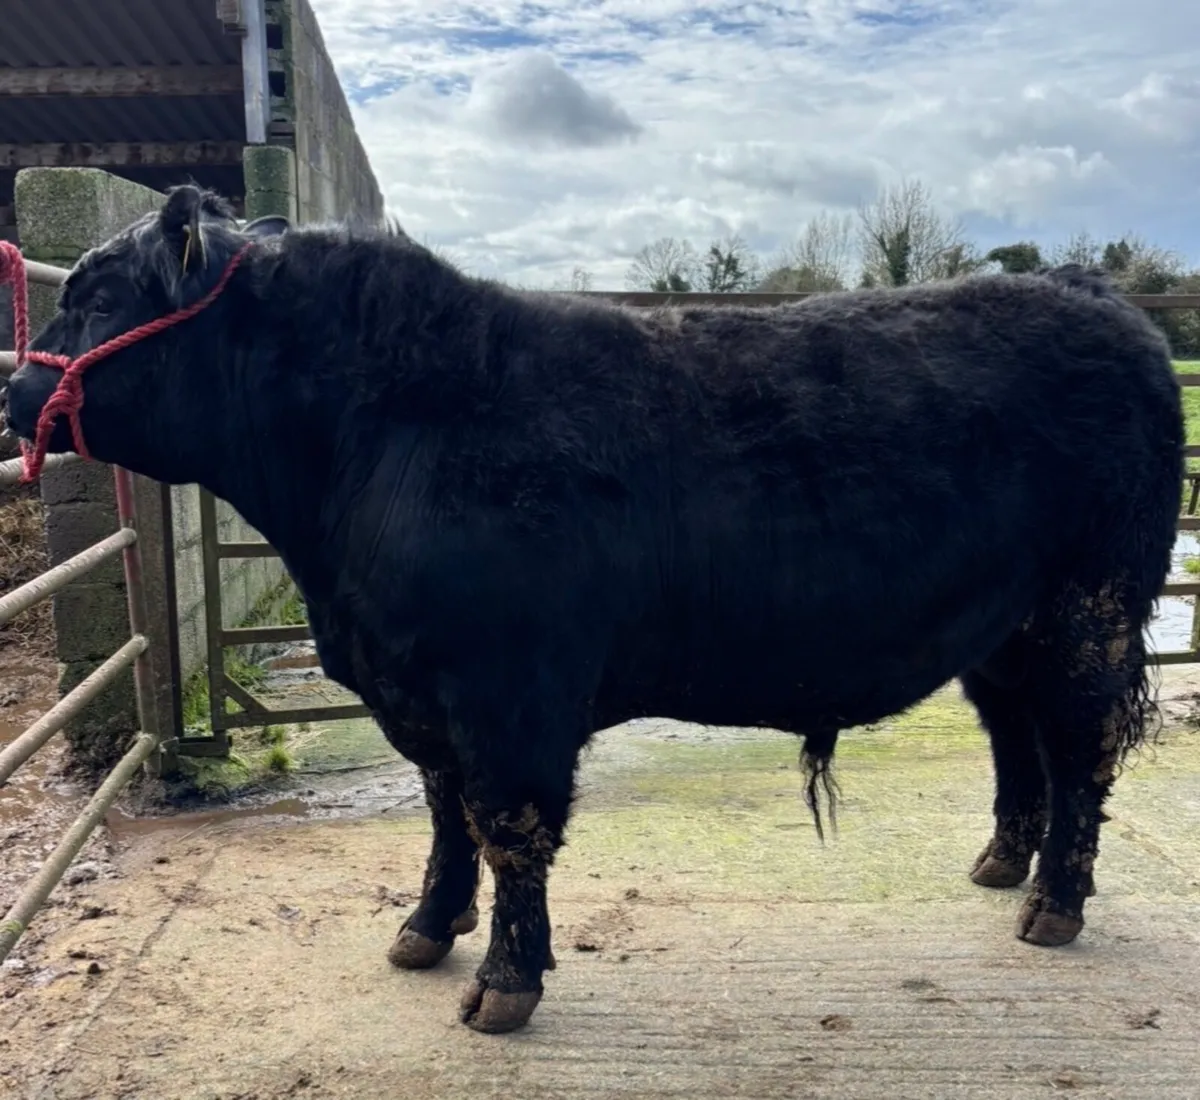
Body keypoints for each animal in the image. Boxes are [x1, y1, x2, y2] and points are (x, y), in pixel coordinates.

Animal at [4, 185, 1185, 1034]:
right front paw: (426, 929)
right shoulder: (422, 689)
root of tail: (1090, 293)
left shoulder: (506, 691)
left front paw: (504, 983)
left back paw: (1052, 904)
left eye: (98, 298)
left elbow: (509, 824)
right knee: (1016, 735)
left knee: (1079, 745)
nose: (16, 389)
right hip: (1005, 626)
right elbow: (447, 814)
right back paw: (1002, 863)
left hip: (1089, 607)